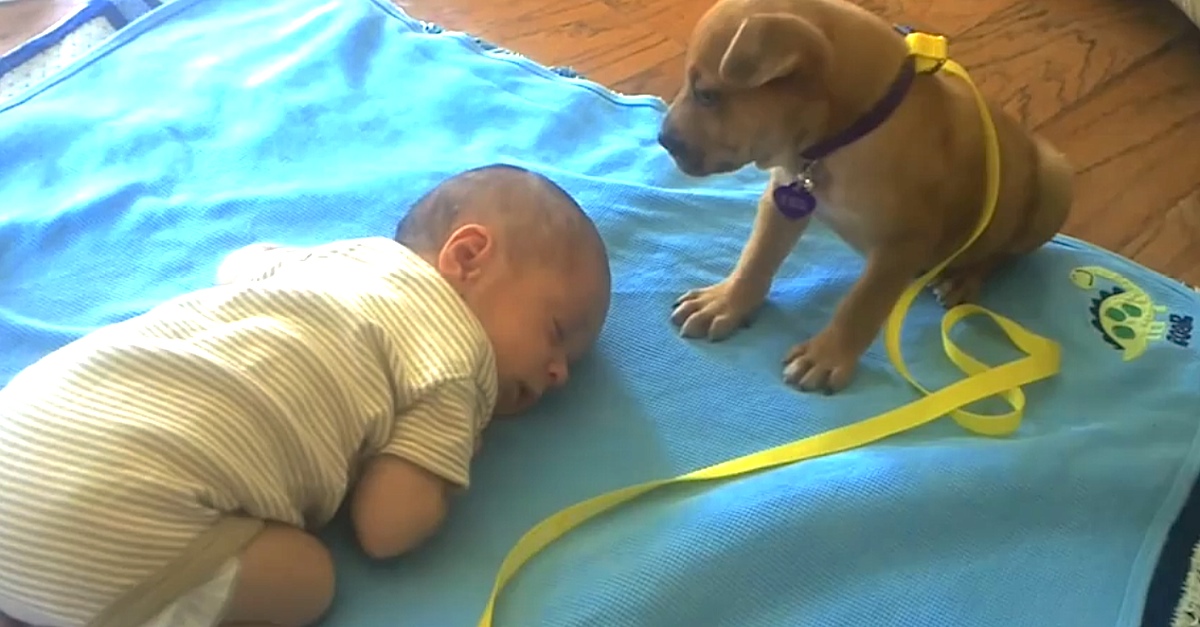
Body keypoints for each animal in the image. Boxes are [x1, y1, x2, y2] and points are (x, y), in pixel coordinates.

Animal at [662, 0, 1075, 393]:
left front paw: (827, 355)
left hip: (1054, 182)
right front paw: (726, 302)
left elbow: (861, 303)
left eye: (707, 95)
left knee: (1003, 252)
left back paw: (964, 278)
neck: (846, 134)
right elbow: (756, 257)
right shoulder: (784, 197)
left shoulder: (903, 243)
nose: (663, 140)